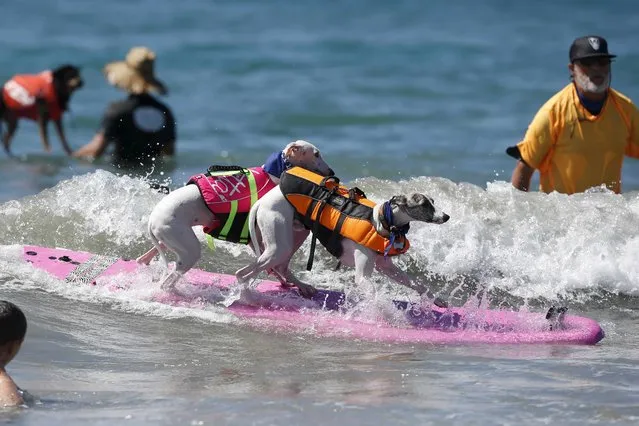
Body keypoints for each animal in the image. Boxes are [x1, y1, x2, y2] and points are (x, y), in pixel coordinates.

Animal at [139, 141, 336, 292]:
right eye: (316, 154)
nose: (332, 172)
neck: (274, 173)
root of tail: (151, 219)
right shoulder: (255, 235)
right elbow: (274, 265)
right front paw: (298, 284)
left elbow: (274, 267)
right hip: (188, 249)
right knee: (167, 281)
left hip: (172, 240)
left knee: (148, 257)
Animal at [235, 170, 450, 300]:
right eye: (424, 204)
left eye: (433, 201)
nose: (446, 216)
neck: (383, 221)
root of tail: (260, 202)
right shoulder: (363, 276)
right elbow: (373, 293)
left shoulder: (387, 267)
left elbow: (417, 284)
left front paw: (438, 300)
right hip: (277, 246)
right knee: (242, 274)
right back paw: (247, 297)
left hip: (295, 236)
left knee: (280, 266)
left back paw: (303, 286)